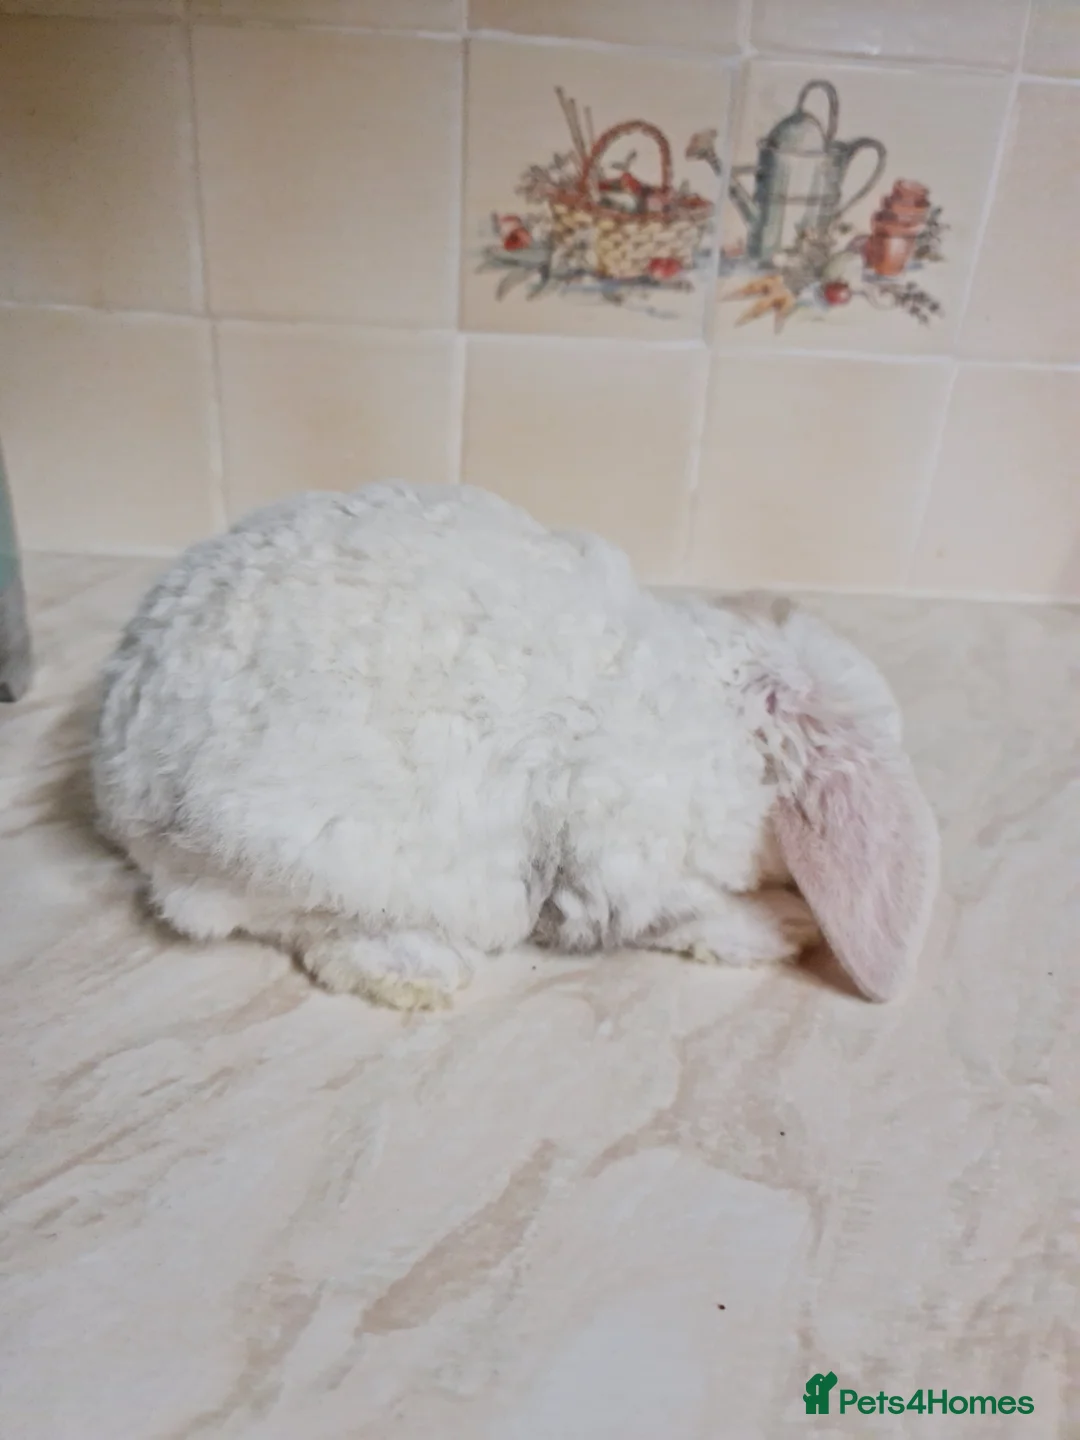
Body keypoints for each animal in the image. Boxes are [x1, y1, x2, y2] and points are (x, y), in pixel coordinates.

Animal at [92, 482, 939, 1010]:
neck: (729, 724)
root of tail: (127, 780)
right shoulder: (628, 862)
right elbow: (685, 915)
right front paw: (784, 928)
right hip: (334, 858)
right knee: (306, 930)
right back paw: (419, 971)